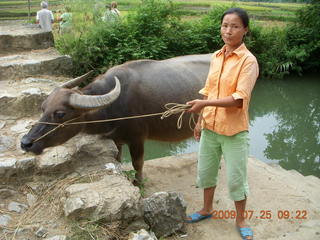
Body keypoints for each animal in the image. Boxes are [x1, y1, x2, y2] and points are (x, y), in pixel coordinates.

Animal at [21, 54, 211, 182]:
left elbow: (137, 163)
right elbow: (118, 160)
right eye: (43, 107)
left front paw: (138, 183)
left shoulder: (137, 139)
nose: (25, 142)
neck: (112, 108)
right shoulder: (116, 139)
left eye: (60, 114)